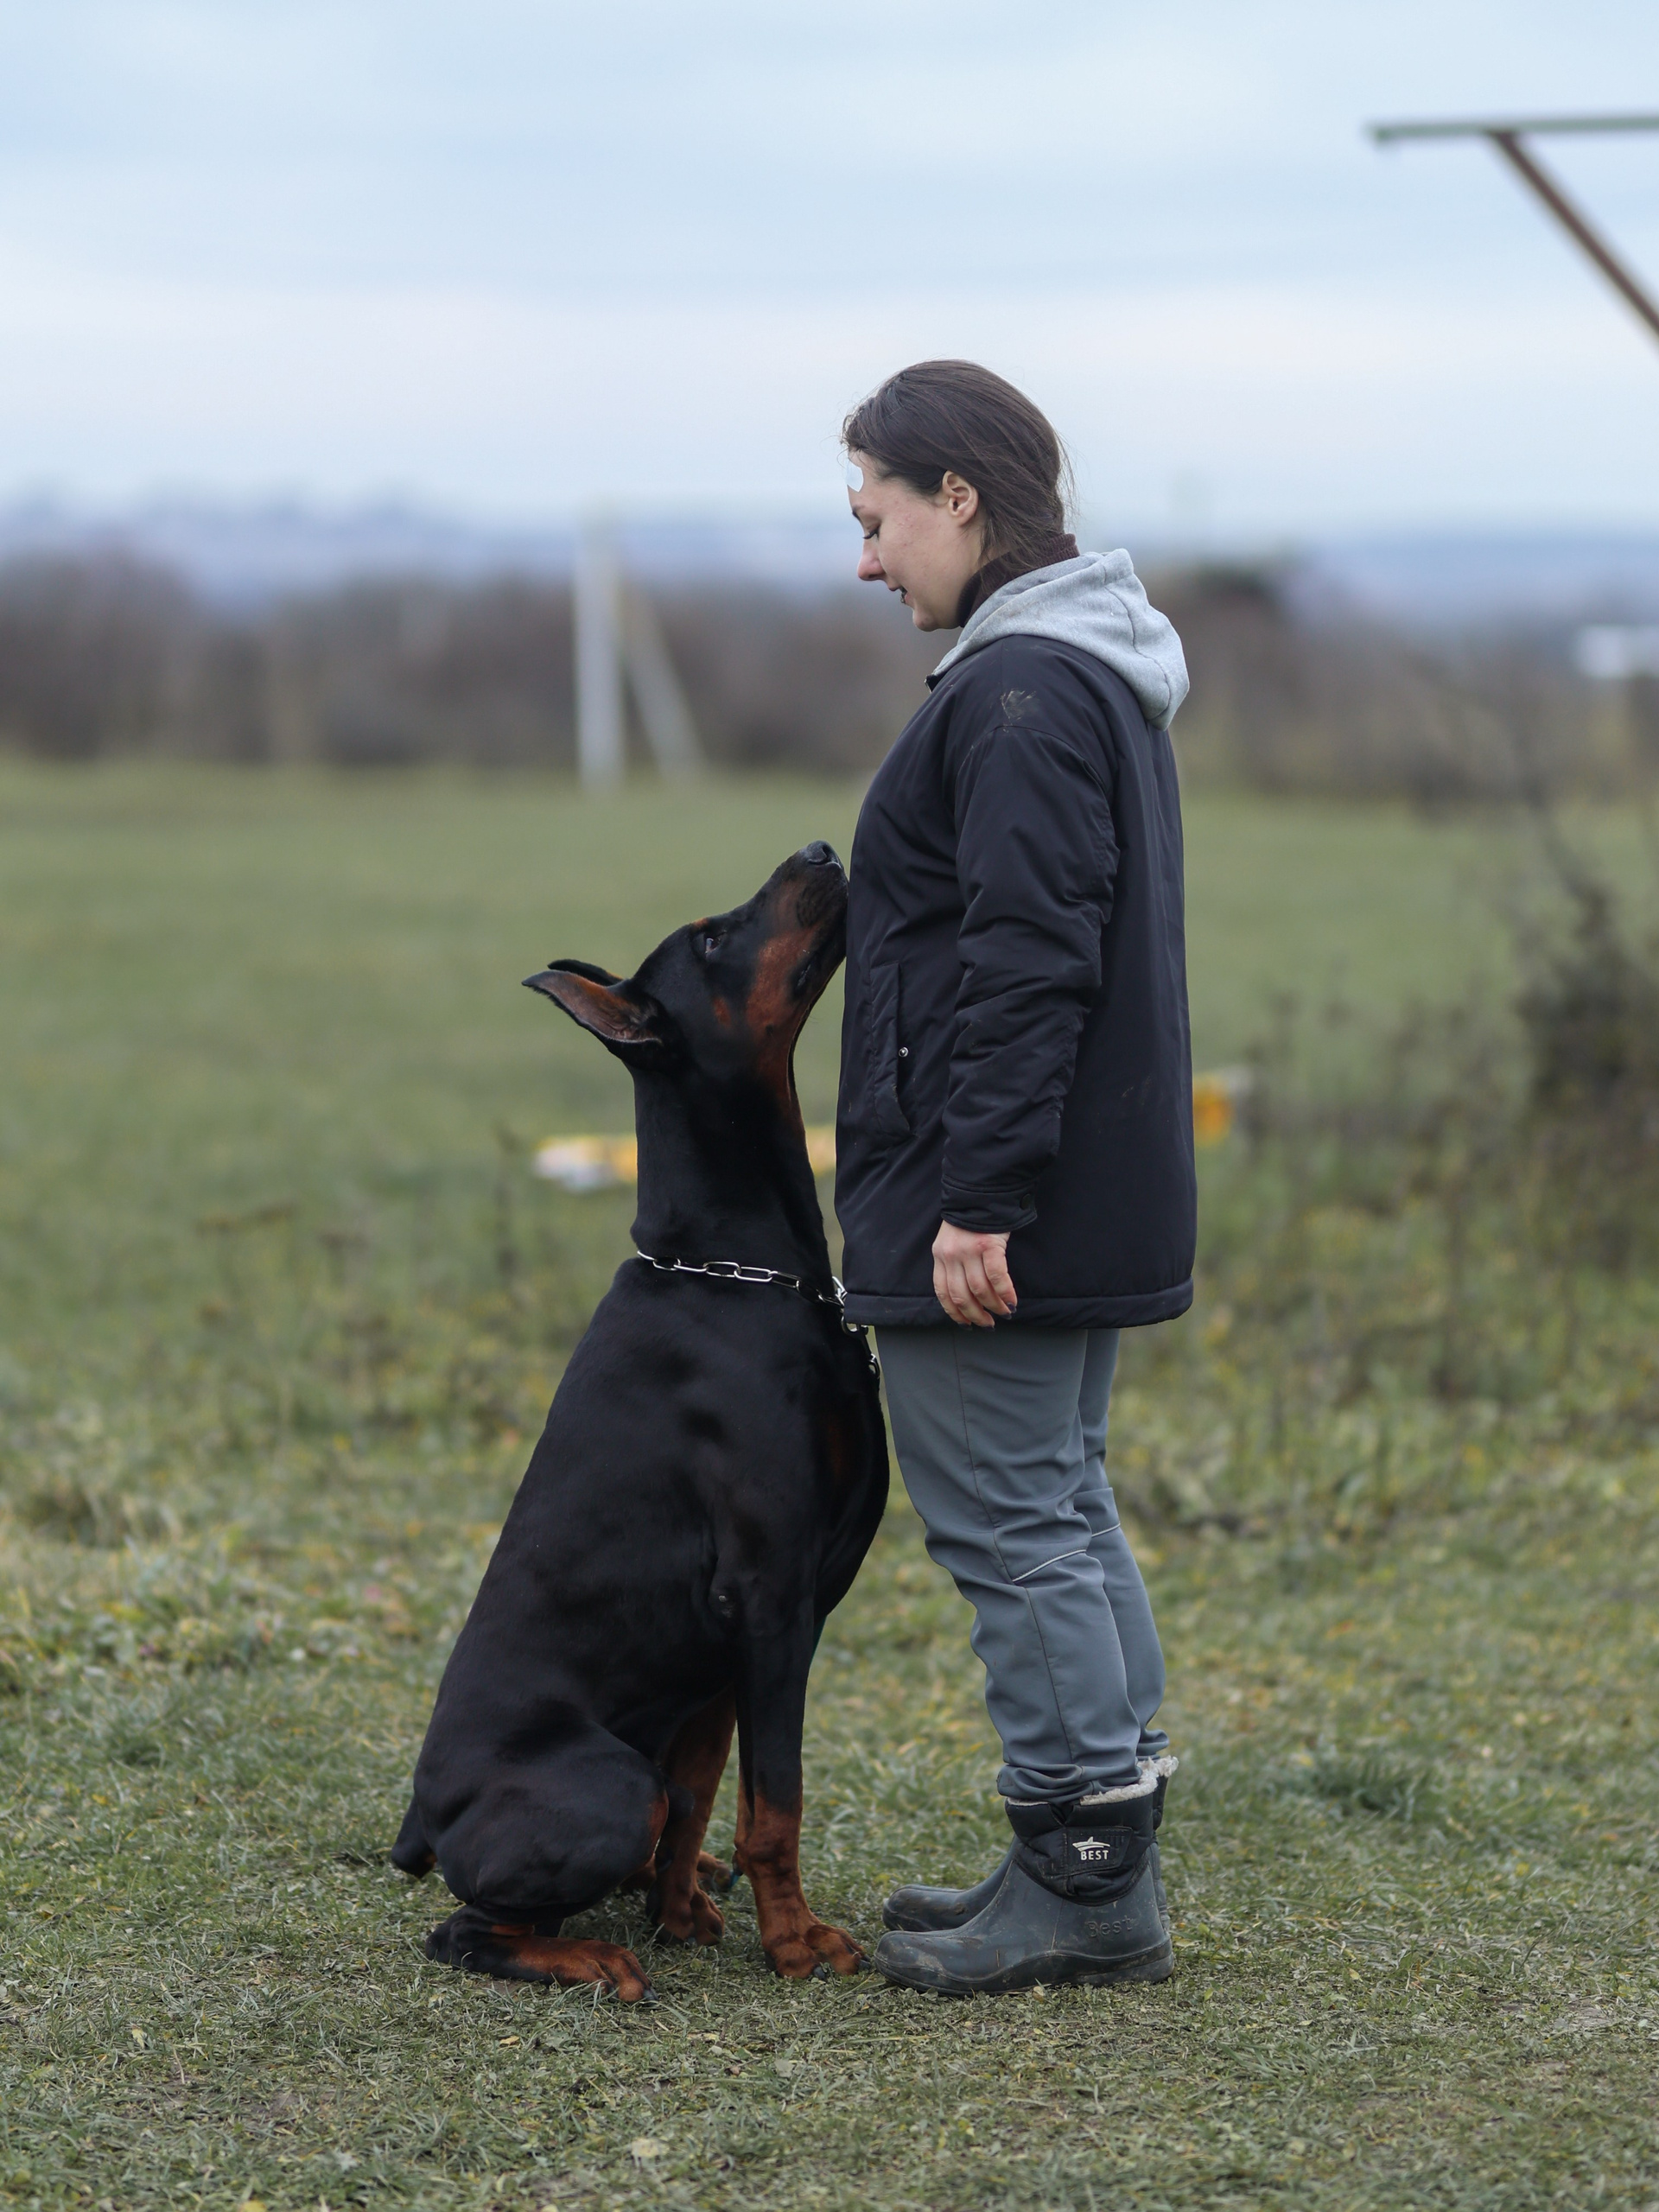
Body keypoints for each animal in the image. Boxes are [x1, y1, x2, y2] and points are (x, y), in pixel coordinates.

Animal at [391, 842, 889, 1999]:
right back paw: (596, 1957)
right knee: (465, 1927)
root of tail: (427, 1822)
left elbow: (712, 1791)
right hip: (612, 1776)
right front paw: (796, 1943)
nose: (820, 848)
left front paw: (689, 1913)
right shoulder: (769, 1593)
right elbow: (775, 1802)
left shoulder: (721, 1645)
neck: (733, 1269)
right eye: (710, 936)